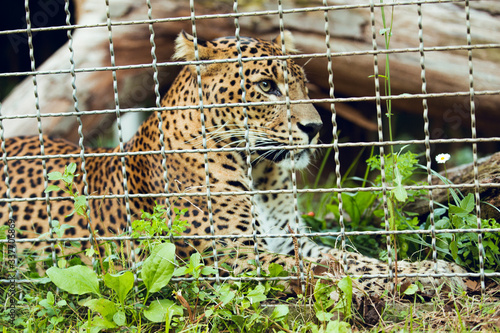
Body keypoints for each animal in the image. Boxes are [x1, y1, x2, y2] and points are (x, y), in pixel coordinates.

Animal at [1, 31, 466, 294]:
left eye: (302, 84)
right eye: (266, 86)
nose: (316, 127)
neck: (257, 169)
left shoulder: (291, 240)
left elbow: (352, 259)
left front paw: (434, 268)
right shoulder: (238, 259)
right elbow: (337, 270)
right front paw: (429, 277)